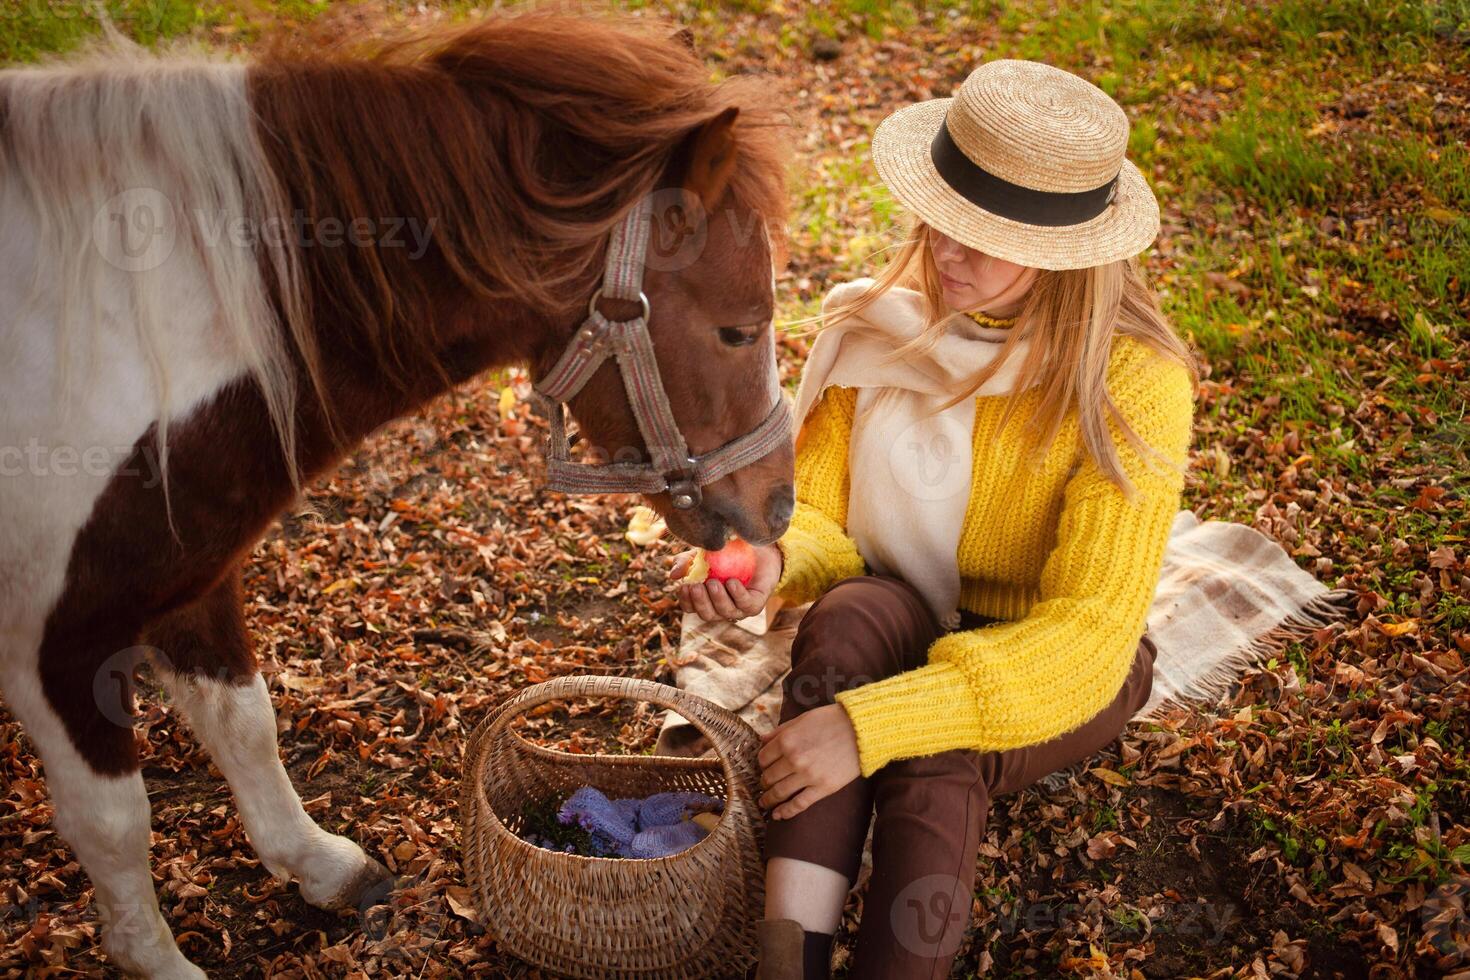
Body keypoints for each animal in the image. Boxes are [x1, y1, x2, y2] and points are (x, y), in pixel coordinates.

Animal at [0, 11, 793, 975]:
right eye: (739, 329)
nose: (781, 501)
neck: (140, 343)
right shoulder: (56, 645)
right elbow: (112, 824)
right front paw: (157, 958)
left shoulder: (192, 577)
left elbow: (246, 723)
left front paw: (317, 863)